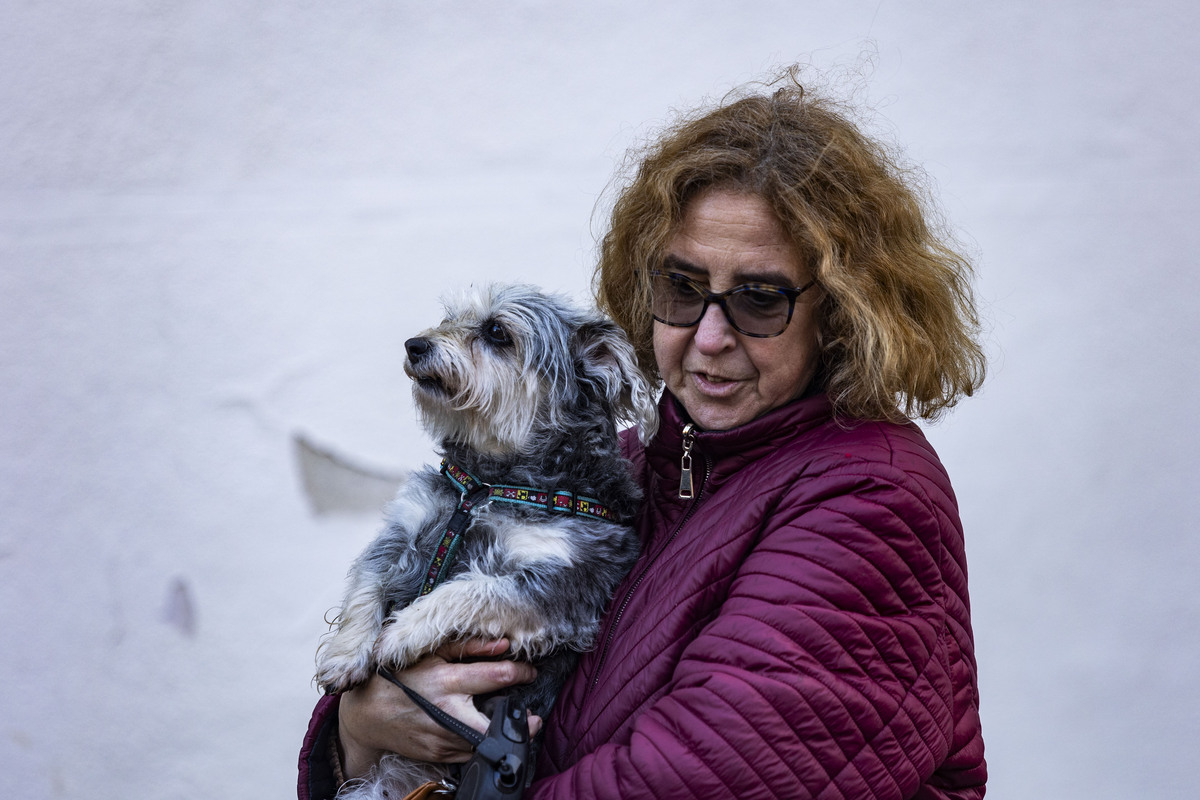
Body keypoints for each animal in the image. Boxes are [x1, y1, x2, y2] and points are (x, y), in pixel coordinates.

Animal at [314, 284, 657, 796]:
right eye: (449, 318)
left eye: (497, 332)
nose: (414, 345)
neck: (486, 484)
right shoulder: (401, 530)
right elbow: (365, 589)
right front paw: (344, 655)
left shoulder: (558, 590)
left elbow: (471, 589)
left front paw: (404, 632)